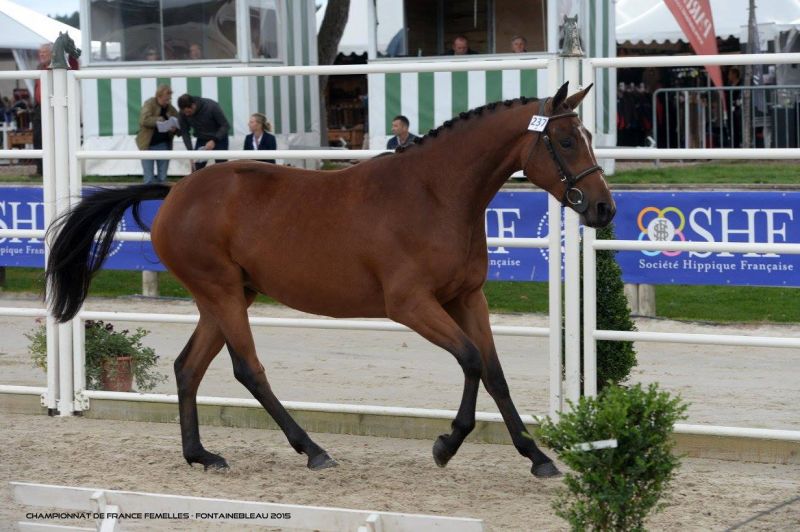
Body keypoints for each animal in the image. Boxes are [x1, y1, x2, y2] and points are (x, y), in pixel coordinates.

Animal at [46, 81, 615, 478]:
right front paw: (446, 445)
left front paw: (537, 457)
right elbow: (471, 360)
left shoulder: (467, 298)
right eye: (567, 139)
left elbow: (494, 373)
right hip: (222, 293)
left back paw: (202, 456)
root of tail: (176, 192)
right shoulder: (411, 305)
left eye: (587, 136)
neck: (436, 194)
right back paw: (312, 450)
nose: (604, 209)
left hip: (228, 296)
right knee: (248, 370)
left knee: (188, 368)